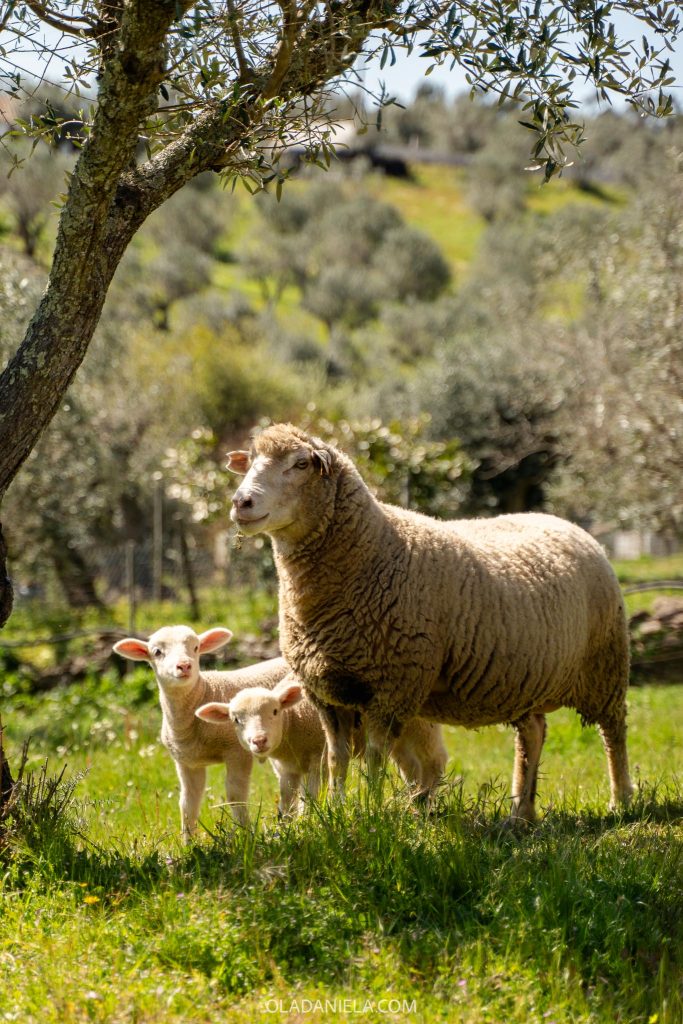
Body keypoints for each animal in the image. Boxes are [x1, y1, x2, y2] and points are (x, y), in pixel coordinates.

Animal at [112, 625, 289, 839]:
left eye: (195, 647)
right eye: (157, 652)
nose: (184, 666)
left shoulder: (236, 751)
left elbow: (235, 795)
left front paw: (245, 835)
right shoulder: (187, 762)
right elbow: (188, 803)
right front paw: (189, 843)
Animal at [196, 681, 448, 815]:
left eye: (275, 711)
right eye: (235, 719)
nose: (259, 740)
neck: (293, 720)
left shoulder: (318, 758)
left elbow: (311, 795)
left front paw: (308, 818)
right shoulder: (286, 769)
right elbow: (287, 799)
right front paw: (287, 827)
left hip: (421, 725)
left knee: (435, 759)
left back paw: (424, 802)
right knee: (410, 766)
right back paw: (412, 799)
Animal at [227, 422, 634, 823]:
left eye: (300, 464)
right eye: (250, 460)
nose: (240, 502)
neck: (374, 548)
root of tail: (562, 521)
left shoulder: (392, 683)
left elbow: (375, 757)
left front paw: (371, 812)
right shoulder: (325, 692)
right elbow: (336, 758)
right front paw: (338, 810)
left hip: (605, 665)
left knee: (613, 733)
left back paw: (621, 801)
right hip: (526, 678)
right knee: (532, 733)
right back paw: (521, 813)